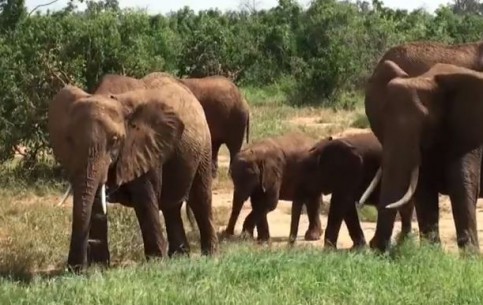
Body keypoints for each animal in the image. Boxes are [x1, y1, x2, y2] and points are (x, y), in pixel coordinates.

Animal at [47, 81, 217, 270]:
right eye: (70, 140)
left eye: (114, 140)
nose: (75, 269)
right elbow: (97, 203)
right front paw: (99, 268)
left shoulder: (144, 149)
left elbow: (144, 201)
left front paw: (156, 263)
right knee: (171, 206)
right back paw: (180, 258)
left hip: (204, 147)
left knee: (200, 199)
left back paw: (209, 256)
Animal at [362, 39, 483, 249]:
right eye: (380, 123)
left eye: (426, 123)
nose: (373, 245)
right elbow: (423, 189)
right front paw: (431, 251)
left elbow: (462, 182)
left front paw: (470, 255)